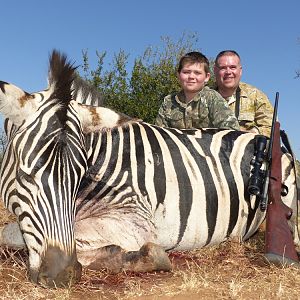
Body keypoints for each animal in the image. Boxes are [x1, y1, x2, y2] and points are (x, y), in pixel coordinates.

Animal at [0, 49, 298, 288]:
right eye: (25, 175)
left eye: (78, 177)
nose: (62, 275)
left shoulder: (135, 222)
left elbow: (12, 234)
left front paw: (142, 257)